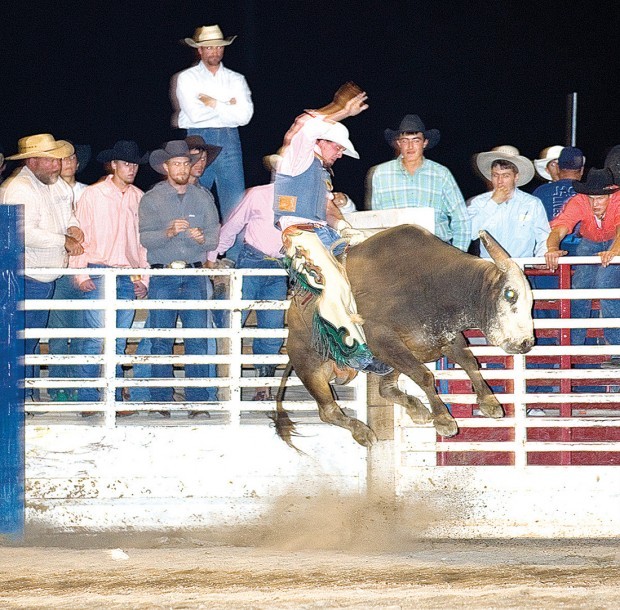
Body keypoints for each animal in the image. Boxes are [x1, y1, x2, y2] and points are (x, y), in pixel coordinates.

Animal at [274, 223, 536, 446]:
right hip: (310, 364)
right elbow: (425, 376)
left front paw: (490, 403)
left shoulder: (443, 336)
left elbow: (470, 362)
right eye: (510, 294)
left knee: (385, 388)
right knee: (328, 411)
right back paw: (363, 432)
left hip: (391, 359)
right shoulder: (382, 341)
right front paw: (444, 420)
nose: (526, 343)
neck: (431, 284)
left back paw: (416, 409)